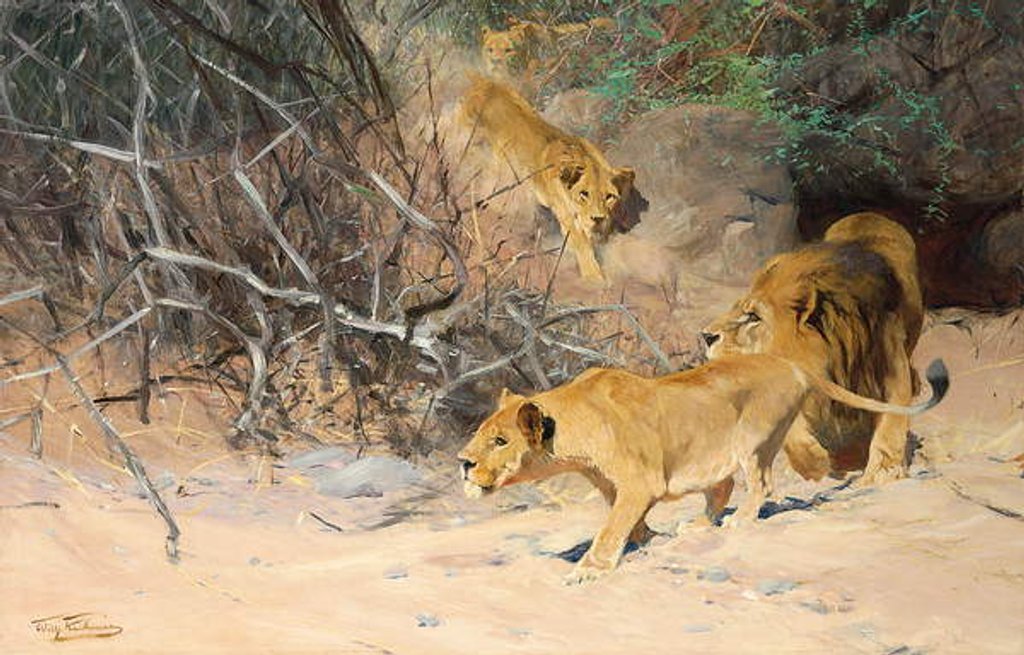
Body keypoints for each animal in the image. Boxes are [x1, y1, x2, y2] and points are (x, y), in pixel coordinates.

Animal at [458, 74, 638, 282]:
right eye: (584, 194)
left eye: (610, 197)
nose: (598, 218)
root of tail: (484, 81)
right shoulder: (567, 217)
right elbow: (583, 246)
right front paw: (594, 278)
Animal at [458, 353, 948, 584]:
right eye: (481, 433)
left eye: (500, 441)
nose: (462, 463)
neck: (574, 429)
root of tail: (788, 362)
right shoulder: (615, 484)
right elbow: (627, 521)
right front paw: (648, 539)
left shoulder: (640, 480)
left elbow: (611, 528)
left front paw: (589, 569)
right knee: (721, 489)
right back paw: (697, 526)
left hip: (755, 440)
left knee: (761, 485)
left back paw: (740, 523)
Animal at [701, 212, 925, 485]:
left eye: (754, 317)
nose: (706, 336)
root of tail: (868, 213)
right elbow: (792, 431)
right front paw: (816, 463)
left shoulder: (891, 364)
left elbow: (892, 420)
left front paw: (883, 471)